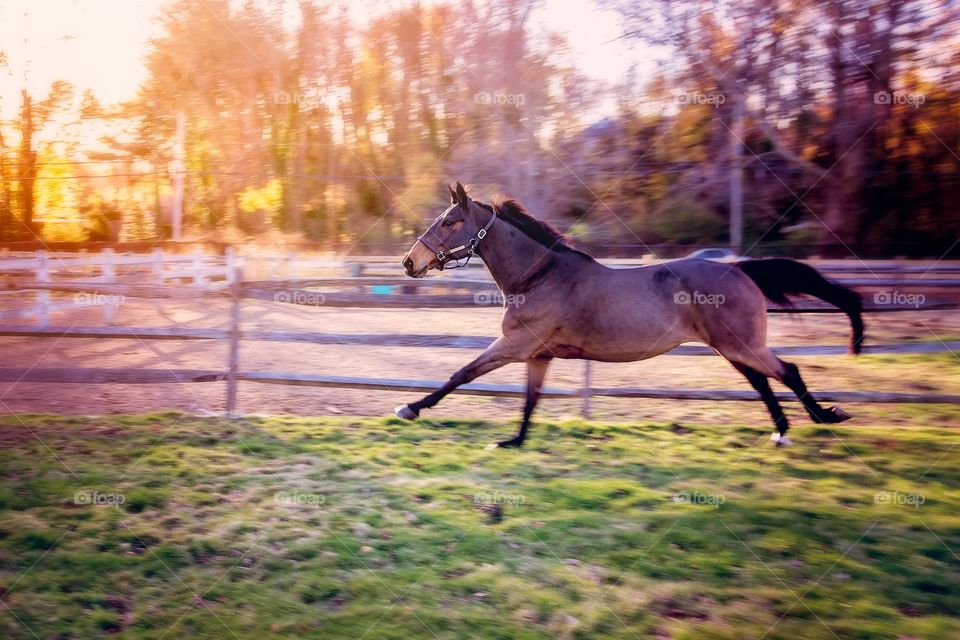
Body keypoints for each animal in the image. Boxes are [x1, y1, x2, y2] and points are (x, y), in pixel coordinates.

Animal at [394, 182, 860, 448]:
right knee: (762, 381)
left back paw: (823, 417)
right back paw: (782, 430)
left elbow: (462, 373)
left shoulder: (516, 345)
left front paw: (411, 408)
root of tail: (737, 267)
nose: (409, 262)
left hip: (740, 344)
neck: (539, 277)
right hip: (730, 347)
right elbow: (530, 399)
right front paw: (514, 441)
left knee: (788, 371)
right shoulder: (538, 354)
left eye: (450, 221)